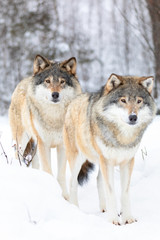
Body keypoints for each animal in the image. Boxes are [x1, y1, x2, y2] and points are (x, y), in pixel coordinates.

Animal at [8, 54, 81, 199]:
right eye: (47, 81)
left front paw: (65, 197)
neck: (54, 118)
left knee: (35, 163)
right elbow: (48, 170)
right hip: (22, 140)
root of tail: (24, 81)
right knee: (17, 156)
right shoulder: (44, 144)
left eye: (62, 82)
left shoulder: (62, 145)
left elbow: (60, 174)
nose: (55, 94)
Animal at [63, 73, 156, 225]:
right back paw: (75, 207)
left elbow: (124, 192)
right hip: (78, 159)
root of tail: (73, 101)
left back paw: (104, 209)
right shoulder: (107, 161)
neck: (122, 138)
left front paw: (128, 218)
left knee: (99, 180)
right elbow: (111, 192)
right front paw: (113, 220)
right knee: (73, 181)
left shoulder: (127, 162)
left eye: (139, 101)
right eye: (123, 100)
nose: (133, 117)